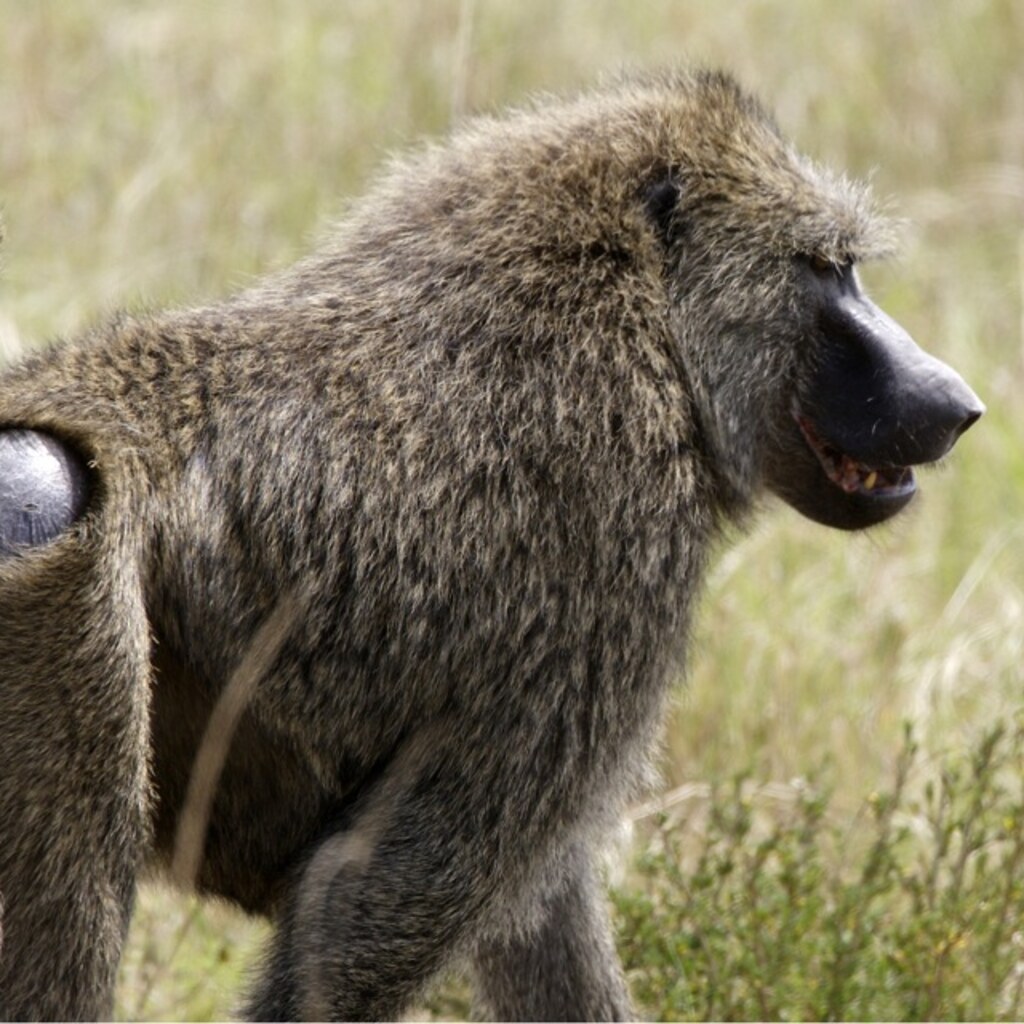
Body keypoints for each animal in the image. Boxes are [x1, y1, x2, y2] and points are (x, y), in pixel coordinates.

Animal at [0, 68, 983, 1021]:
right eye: (827, 268)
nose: (958, 401)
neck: (649, 319)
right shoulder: (610, 540)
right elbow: (378, 891)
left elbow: (537, 908)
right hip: (51, 540)